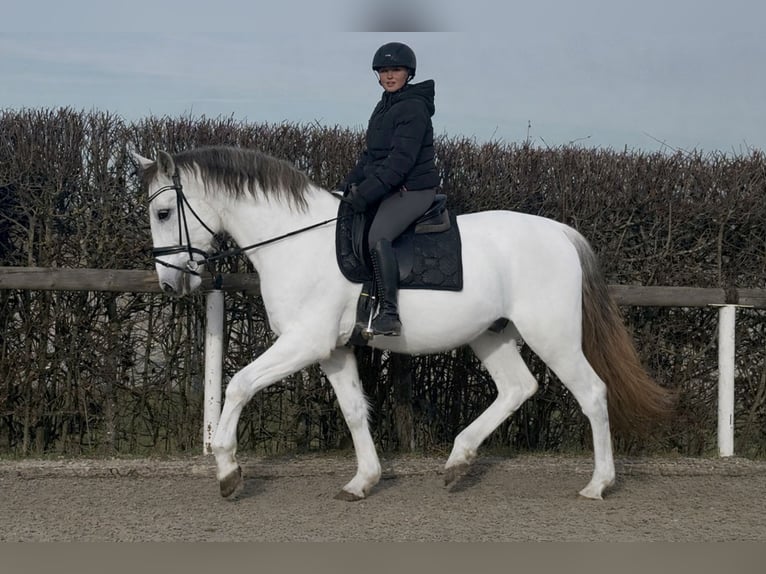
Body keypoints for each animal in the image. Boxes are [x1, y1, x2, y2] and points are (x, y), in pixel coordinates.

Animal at [132, 145, 671, 501]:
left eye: (163, 212)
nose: (169, 285)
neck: (294, 240)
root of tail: (560, 233)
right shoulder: (333, 349)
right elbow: (354, 410)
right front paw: (363, 481)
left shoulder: (304, 341)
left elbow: (240, 384)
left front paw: (227, 470)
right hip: (490, 335)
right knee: (518, 388)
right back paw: (457, 462)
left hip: (552, 336)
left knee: (592, 393)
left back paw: (598, 484)